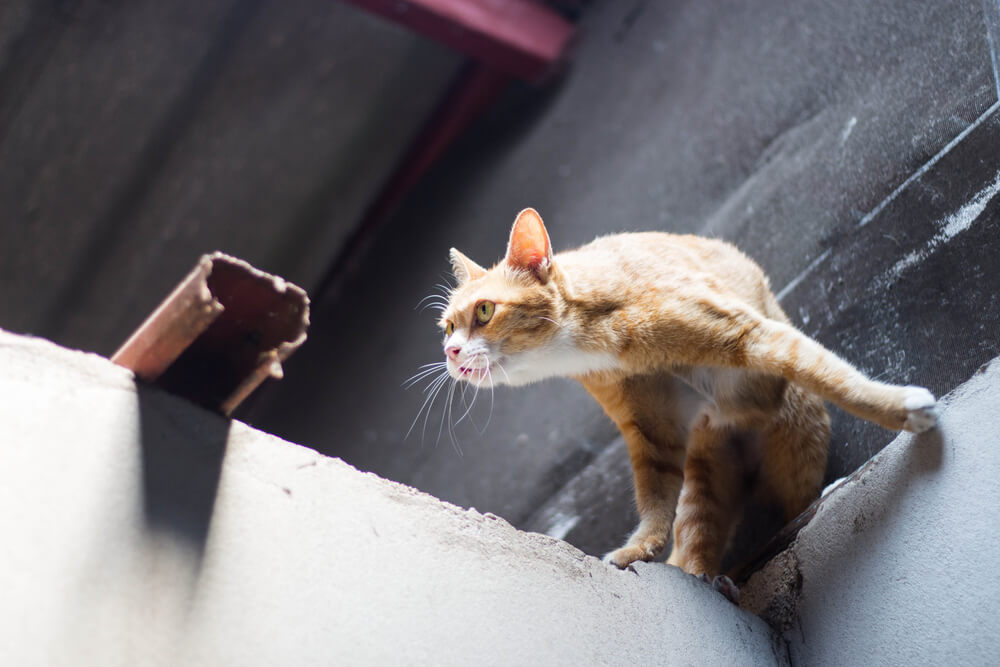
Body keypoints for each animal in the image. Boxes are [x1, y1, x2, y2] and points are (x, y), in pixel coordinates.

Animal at [438, 209, 936, 584]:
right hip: (707, 469)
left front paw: (902, 409)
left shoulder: (752, 336)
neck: (591, 337)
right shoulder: (653, 429)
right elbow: (655, 497)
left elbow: (829, 372)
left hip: (799, 429)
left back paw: (822, 496)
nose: (450, 351)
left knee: (799, 501)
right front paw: (637, 549)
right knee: (698, 540)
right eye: (447, 326)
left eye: (485, 311)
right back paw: (707, 577)